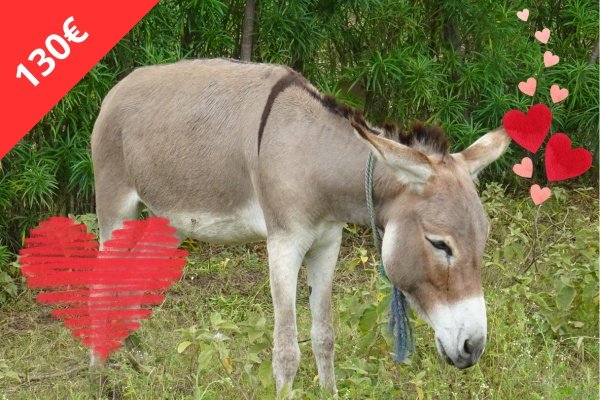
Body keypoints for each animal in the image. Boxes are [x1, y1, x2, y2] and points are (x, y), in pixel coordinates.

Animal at [91, 58, 511, 394]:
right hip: (115, 203)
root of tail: (118, 86)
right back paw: (101, 373)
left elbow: (324, 336)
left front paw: (330, 393)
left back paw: (136, 364)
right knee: (103, 284)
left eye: (483, 241)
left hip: (169, 220)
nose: (474, 348)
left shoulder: (327, 244)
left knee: (133, 280)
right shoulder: (283, 245)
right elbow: (287, 350)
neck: (314, 158)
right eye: (439, 244)